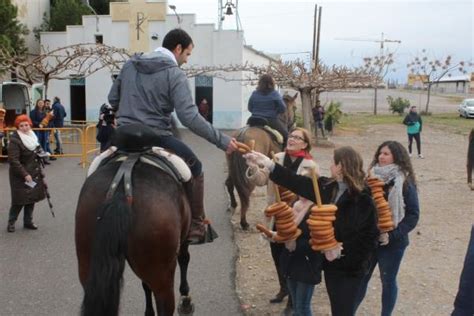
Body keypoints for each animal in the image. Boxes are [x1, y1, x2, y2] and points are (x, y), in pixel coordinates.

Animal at [75, 152, 193, 314]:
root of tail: (121, 191)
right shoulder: (183, 240)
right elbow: (184, 258)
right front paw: (186, 299)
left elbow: (145, 285)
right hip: (162, 278)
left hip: (87, 268)